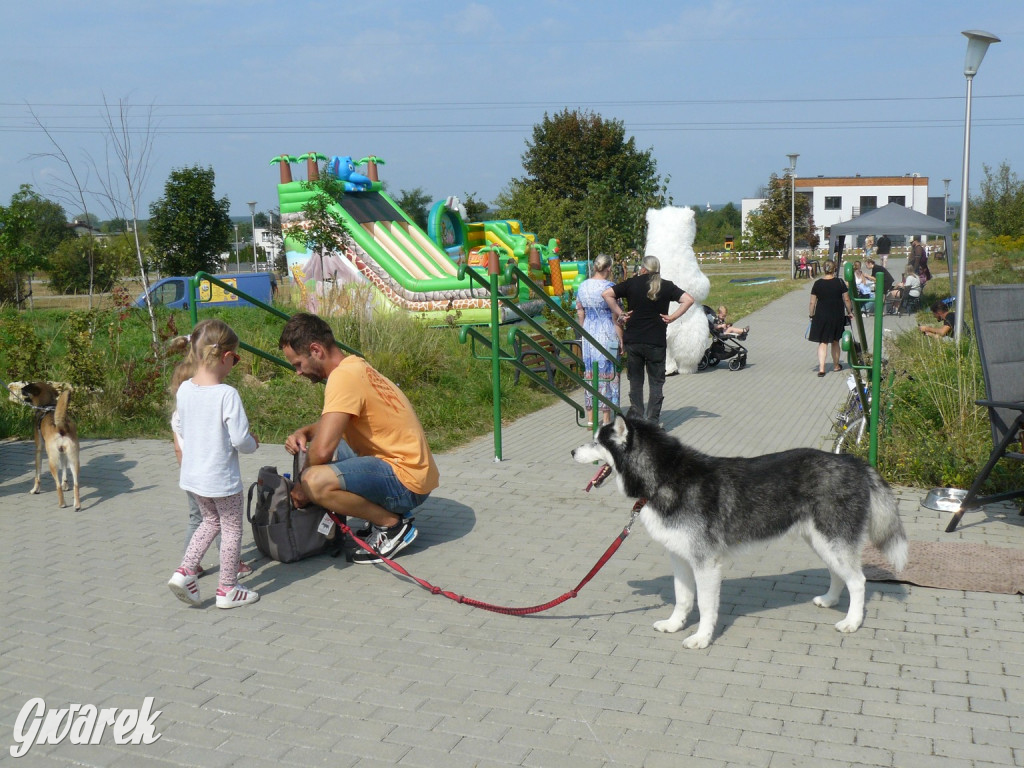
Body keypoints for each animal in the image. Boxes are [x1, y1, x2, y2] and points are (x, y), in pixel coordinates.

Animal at [573, 421, 909, 651]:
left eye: (595, 441)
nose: (573, 450)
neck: (666, 478)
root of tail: (856, 462)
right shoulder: (680, 557)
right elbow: (683, 598)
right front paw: (675, 625)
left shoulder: (706, 563)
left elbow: (706, 606)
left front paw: (701, 638)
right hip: (821, 541)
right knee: (839, 574)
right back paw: (830, 600)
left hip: (833, 539)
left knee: (859, 581)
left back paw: (852, 621)